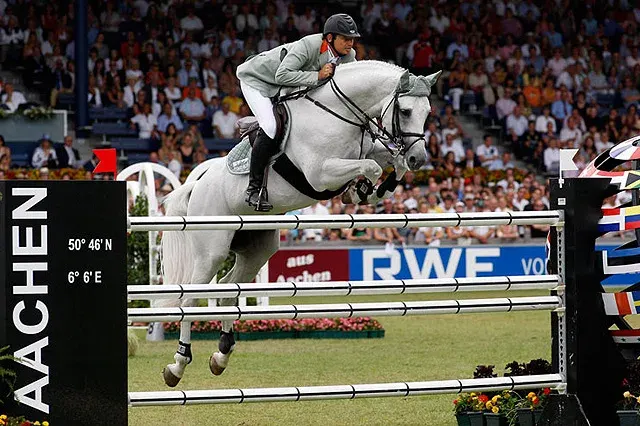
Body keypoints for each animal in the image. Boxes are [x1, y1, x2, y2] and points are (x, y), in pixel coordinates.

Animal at [159, 60, 441, 387]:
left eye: (428, 111)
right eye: (406, 111)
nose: (419, 158)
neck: (340, 113)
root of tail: (197, 186)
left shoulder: (366, 151)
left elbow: (388, 161)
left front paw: (375, 188)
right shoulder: (321, 174)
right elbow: (370, 166)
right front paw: (361, 190)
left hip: (256, 248)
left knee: (230, 289)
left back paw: (221, 354)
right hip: (210, 250)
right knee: (191, 298)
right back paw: (177, 364)